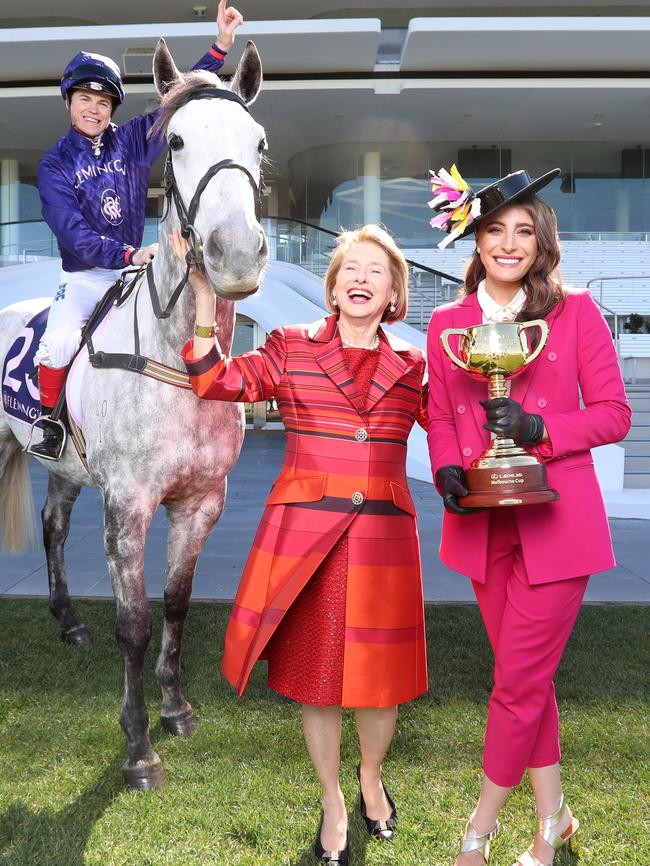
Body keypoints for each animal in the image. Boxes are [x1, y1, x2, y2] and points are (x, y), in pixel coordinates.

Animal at [0, 40, 266, 788]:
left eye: (259, 144)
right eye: (175, 141)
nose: (238, 253)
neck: (179, 366)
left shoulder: (202, 499)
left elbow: (176, 603)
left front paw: (175, 708)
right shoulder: (129, 503)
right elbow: (136, 623)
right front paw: (139, 745)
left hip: (60, 463)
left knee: (54, 525)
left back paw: (67, 620)